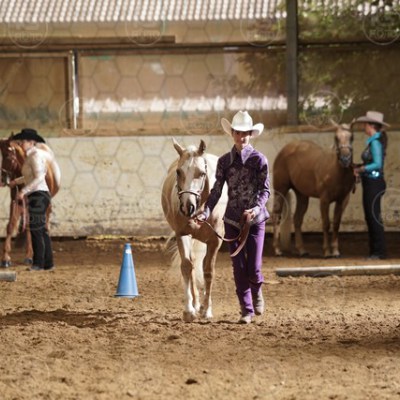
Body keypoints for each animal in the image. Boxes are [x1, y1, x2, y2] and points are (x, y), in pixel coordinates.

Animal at [161, 139, 227, 322]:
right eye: (178, 171)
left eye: (201, 173)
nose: (187, 206)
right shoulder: (182, 234)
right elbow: (186, 267)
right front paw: (189, 310)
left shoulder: (215, 241)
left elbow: (208, 271)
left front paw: (207, 310)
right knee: (192, 263)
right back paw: (197, 303)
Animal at [272, 122, 356, 258]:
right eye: (336, 137)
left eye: (352, 137)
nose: (345, 159)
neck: (336, 171)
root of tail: (286, 149)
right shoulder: (324, 199)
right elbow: (326, 224)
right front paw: (327, 252)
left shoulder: (342, 200)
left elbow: (336, 224)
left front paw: (335, 251)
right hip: (280, 189)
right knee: (276, 215)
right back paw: (278, 250)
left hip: (302, 195)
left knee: (297, 219)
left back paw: (302, 250)